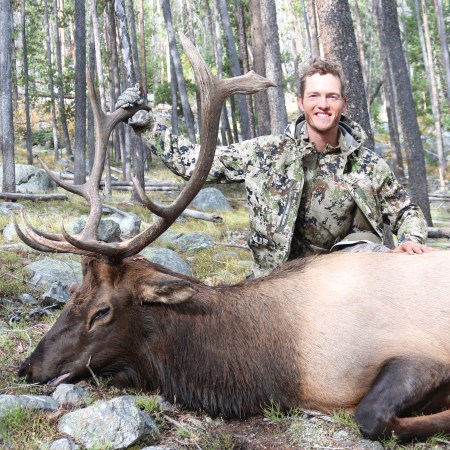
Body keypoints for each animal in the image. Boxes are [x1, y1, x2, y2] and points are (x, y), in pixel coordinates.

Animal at [16, 35, 450, 442]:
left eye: (102, 311)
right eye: (72, 295)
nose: (27, 367)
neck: (273, 370)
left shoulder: (418, 351)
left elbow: (370, 415)